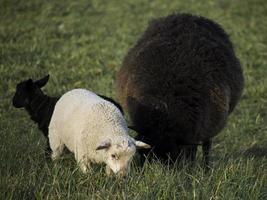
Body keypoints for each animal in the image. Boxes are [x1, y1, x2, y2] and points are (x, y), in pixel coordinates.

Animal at [115, 13, 245, 166]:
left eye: (173, 157)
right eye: (143, 155)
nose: (157, 170)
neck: (165, 111)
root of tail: (190, 16)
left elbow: (193, 150)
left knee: (206, 145)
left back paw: (206, 167)